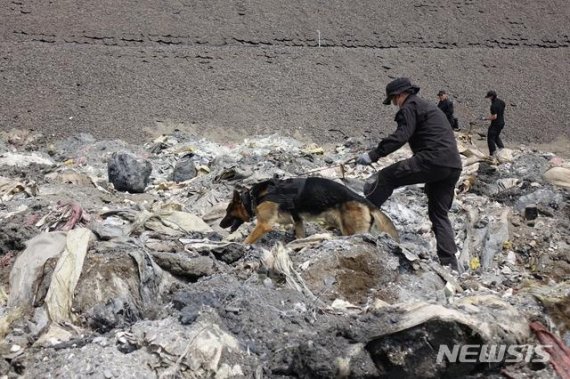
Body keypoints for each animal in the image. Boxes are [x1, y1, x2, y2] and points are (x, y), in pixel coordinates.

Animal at [220, 177, 398, 245]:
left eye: (228, 211)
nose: (221, 225)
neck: (253, 198)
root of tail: (364, 200)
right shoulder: (298, 221)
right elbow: (300, 235)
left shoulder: (264, 225)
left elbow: (248, 239)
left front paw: (241, 245)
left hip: (350, 230)